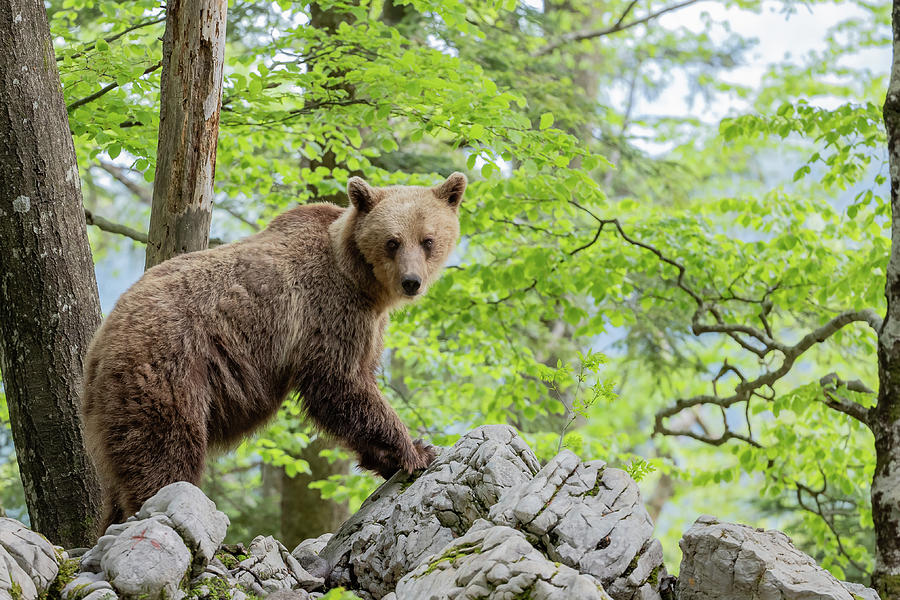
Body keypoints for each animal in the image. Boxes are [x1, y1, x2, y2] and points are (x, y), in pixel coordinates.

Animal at [81, 173, 468, 536]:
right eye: (392, 241)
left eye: (428, 240)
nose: (411, 281)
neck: (362, 281)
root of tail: (99, 344)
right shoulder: (327, 311)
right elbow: (340, 384)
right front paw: (415, 450)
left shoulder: (366, 322)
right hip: (167, 369)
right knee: (166, 452)